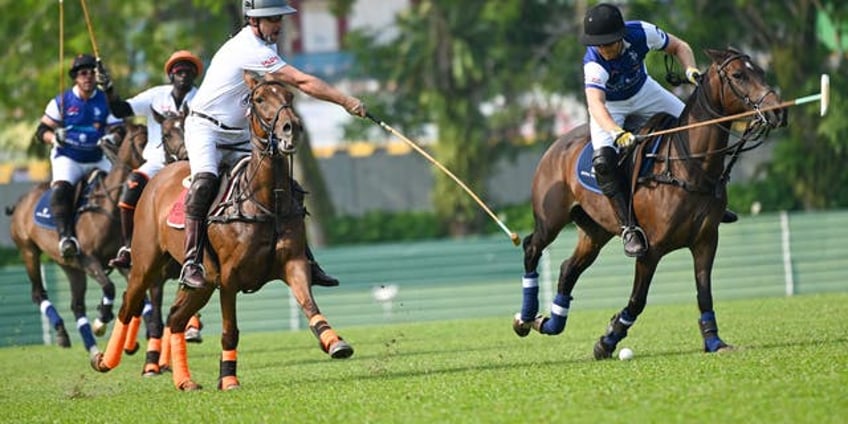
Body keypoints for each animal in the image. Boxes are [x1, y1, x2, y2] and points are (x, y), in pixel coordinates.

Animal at [7, 122, 146, 358]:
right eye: (140, 142)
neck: (109, 205)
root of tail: (20, 201)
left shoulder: (119, 261)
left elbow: (136, 295)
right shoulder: (89, 260)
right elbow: (109, 287)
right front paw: (101, 320)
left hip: (70, 267)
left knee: (77, 305)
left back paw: (92, 350)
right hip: (29, 251)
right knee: (38, 293)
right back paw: (62, 334)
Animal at [93, 70, 354, 390]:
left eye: (290, 96)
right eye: (259, 99)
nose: (291, 129)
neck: (265, 201)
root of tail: (160, 178)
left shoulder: (293, 262)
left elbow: (309, 304)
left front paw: (334, 342)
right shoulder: (229, 278)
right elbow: (230, 330)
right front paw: (228, 378)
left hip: (202, 282)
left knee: (175, 318)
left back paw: (185, 381)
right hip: (146, 265)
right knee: (129, 306)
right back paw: (105, 361)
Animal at [510, 47, 788, 358]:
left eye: (761, 71)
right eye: (739, 75)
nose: (779, 111)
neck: (688, 166)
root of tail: (556, 145)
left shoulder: (706, 241)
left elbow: (704, 294)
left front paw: (715, 342)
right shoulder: (649, 251)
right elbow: (637, 300)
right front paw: (607, 339)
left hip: (595, 230)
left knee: (569, 268)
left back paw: (549, 322)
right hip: (551, 219)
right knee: (532, 247)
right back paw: (525, 318)